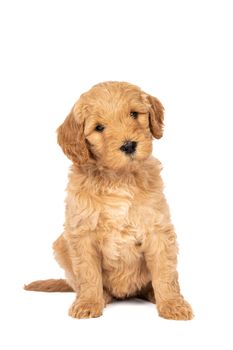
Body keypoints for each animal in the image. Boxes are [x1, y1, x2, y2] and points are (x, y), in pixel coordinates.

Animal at [25, 80, 193, 320]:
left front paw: (173, 304)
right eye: (99, 128)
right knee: (79, 283)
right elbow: (88, 274)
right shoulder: (81, 233)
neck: (118, 179)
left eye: (134, 114)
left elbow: (165, 272)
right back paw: (101, 296)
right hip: (60, 245)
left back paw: (152, 293)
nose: (129, 145)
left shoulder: (157, 228)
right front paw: (88, 302)